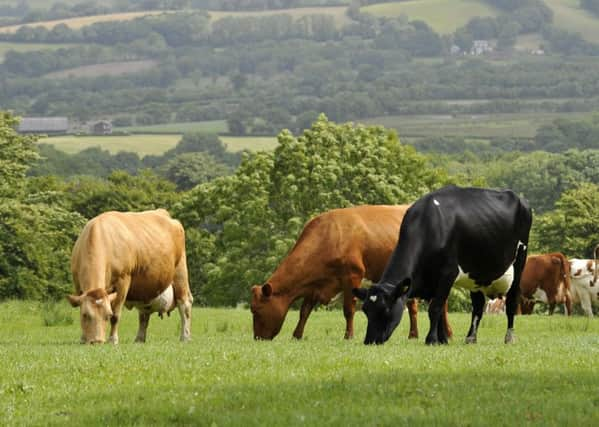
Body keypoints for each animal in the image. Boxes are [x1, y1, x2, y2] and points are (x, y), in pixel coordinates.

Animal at [69, 209, 193, 346]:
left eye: (108, 315)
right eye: (85, 315)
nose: (97, 341)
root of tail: (163, 213)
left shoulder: (123, 280)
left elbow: (116, 315)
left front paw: (113, 339)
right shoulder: (78, 284)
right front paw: (83, 338)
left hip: (180, 272)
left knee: (185, 304)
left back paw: (185, 337)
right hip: (146, 289)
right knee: (144, 313)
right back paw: (139, 339)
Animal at [251, 206, 452, 342]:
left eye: (257, 310)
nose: (258, 338)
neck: (329, 236)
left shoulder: (353, 276)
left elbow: (348, 309)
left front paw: (348, 335)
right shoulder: (315, 284)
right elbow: (304, 311)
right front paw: (297, 335)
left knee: (441, 303)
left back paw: (448, 333)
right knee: (413, 306)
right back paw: (413, 334)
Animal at [354, 186, 532, 346]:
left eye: (385, 309)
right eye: (366, 310)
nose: (369, 341)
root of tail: (519, 198)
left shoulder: (447, 273)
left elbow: (435, 308)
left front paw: (431, 340)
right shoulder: (431, 280)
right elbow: (438, 311)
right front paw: (442, 340)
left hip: (519, 262)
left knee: (511, 302)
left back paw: (509, 338)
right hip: (476, 276)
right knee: (478, 306)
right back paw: (471, 338)